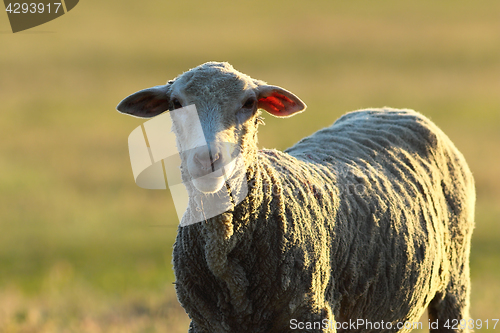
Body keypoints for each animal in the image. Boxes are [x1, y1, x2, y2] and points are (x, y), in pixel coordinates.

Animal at [117, 62, 476, 332]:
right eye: (176, 104)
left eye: (249, 103)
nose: (208, 159)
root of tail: (392, 109)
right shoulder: (205, 322)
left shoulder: (310, 314)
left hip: (455, 282)